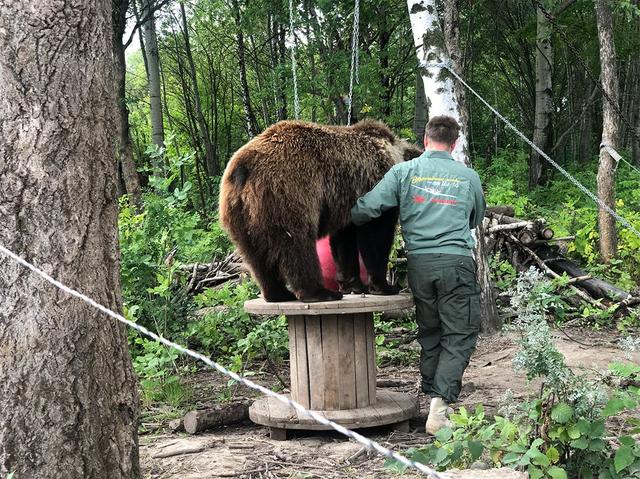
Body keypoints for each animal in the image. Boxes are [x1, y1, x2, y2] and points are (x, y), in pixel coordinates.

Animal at [218, 122, 422, 306]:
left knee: (256, 256)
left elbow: (343, 242)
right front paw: (385, 286)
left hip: (239, 215)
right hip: (287, 193)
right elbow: (375, 236)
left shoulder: (346, 203)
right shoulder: (375, 185)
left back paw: (278, 294)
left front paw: (353, 285)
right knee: (297, 245)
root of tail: (243, 168)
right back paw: (319, 292)